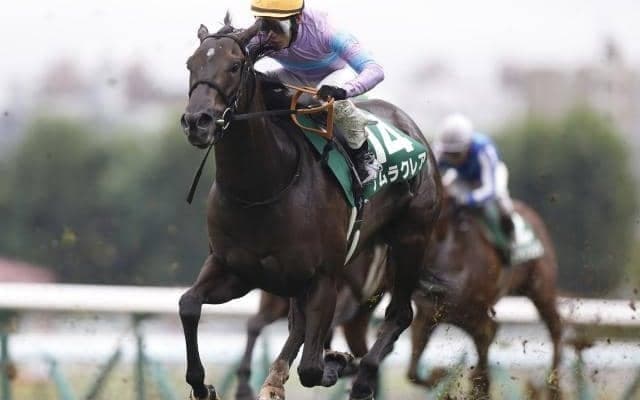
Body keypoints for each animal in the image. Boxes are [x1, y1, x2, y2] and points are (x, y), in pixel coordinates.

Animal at [407, 194, 563, 399]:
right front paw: (441, 378)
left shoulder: (476, 315)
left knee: (556, 327)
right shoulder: (428, 314)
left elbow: (485, 340)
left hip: (541, 289)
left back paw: (554, 387)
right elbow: (412, 373)